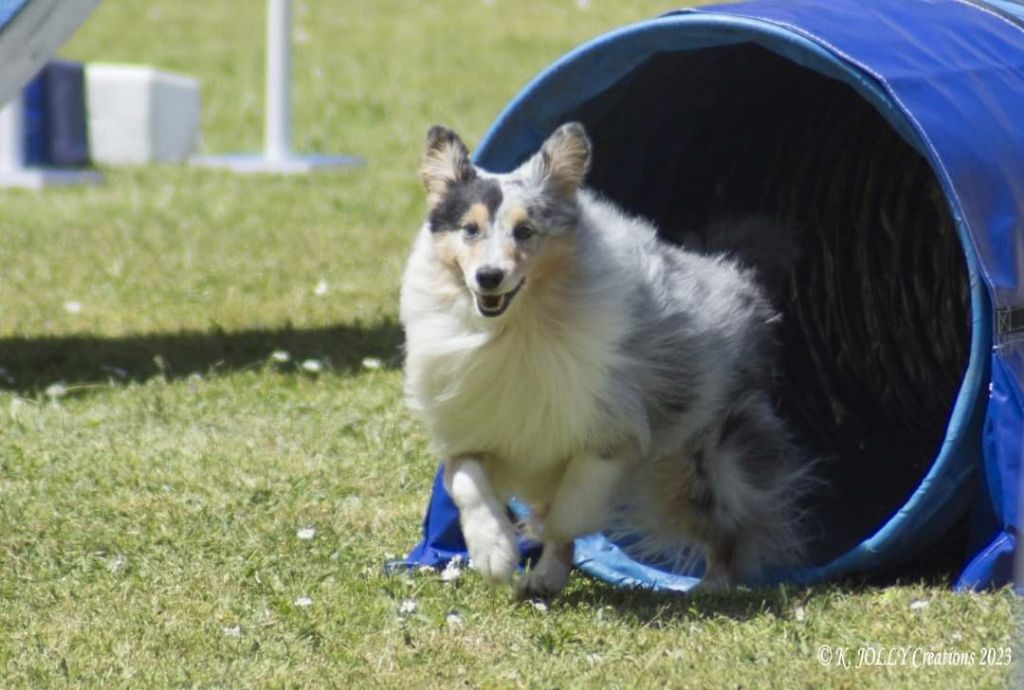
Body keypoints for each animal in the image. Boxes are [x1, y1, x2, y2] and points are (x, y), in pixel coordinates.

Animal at [401, 120, 815, 593]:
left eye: (525, 231)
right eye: (469, 229)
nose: (489, 277)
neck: (516, 329)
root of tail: (733, 274)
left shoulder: (610, 431)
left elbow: (572, 509)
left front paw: (539, 536)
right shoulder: (470, 425)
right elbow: (468, 485)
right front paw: (496, 553)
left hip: (711, 461)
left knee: (730, 527)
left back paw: (712, 586)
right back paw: (543, 580)